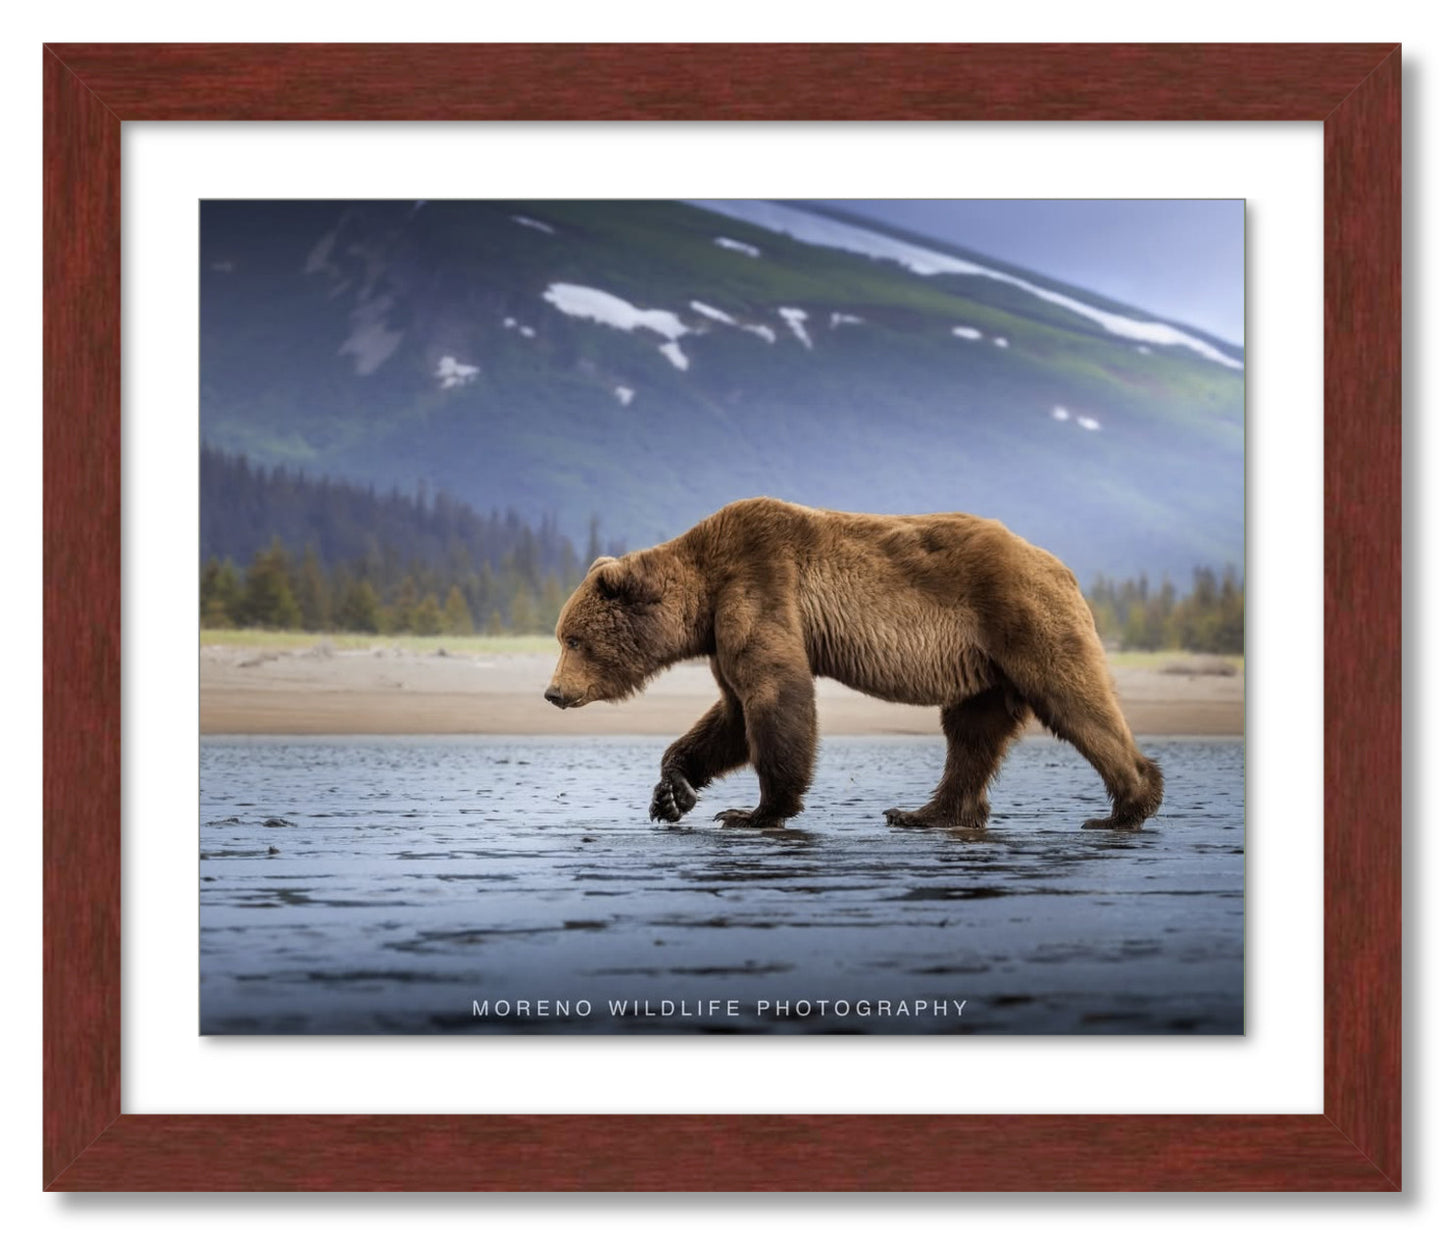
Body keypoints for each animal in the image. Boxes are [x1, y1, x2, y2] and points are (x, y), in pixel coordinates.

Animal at [545, 497, 1163, 831]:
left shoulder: (759, 583)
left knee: (1074, 701)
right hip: (985, 666)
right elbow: (731, 714)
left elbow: (774, 696)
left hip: (1022, 619)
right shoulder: (723, 630)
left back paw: (1126, 806)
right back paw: (925, 812)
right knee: (971, 734)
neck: (703, 591)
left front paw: (755, 810)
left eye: (573, 639)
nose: (552, 693)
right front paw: (672, 793)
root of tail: (1061, 566)